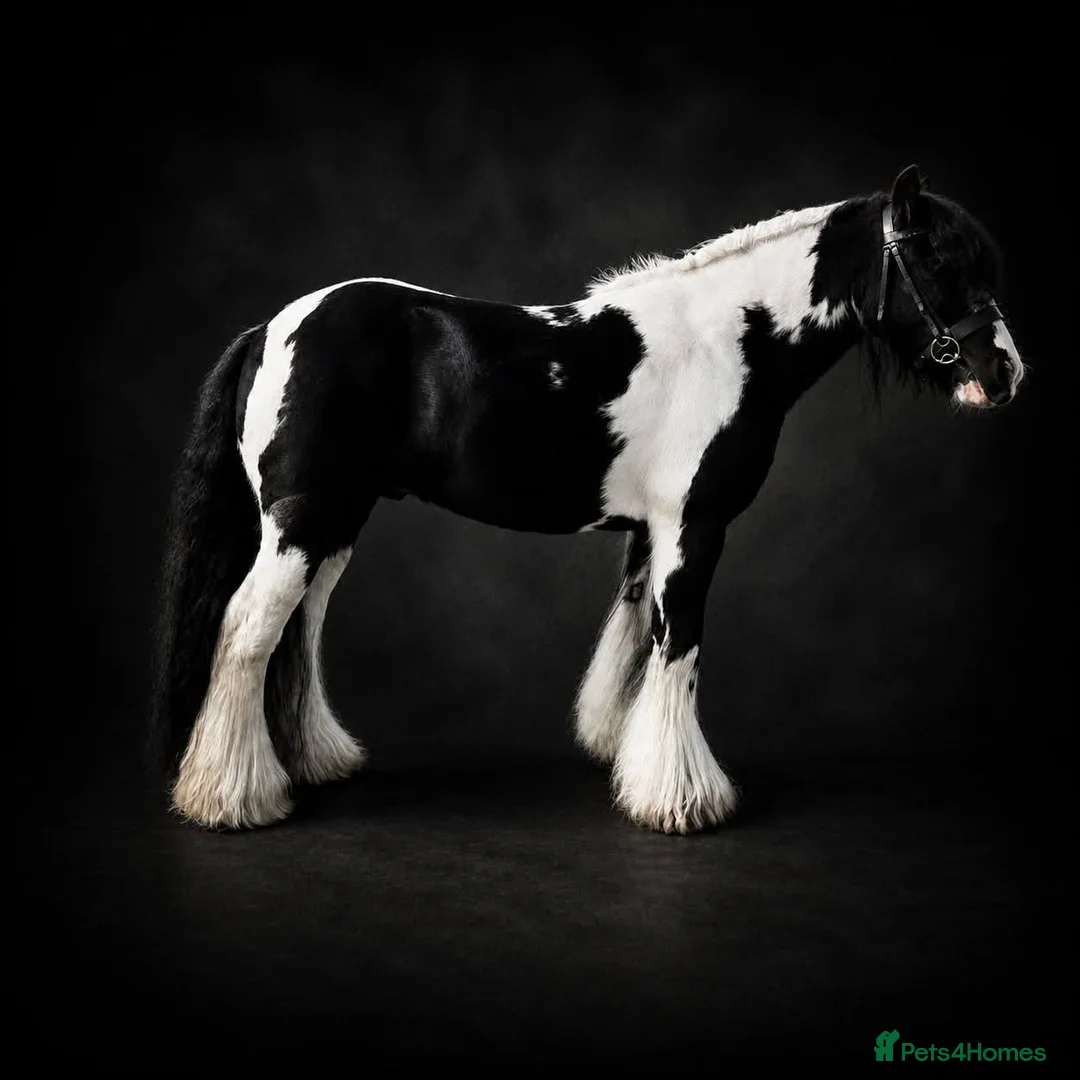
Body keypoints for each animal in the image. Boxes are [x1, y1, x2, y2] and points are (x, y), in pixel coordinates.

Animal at [150, 165, 1024, 834]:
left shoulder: (651, 533)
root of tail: (270, 329)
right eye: (938, 260)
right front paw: (682, 800)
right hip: (300, 523)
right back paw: (233, 799)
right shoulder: (694, 527)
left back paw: (313, 762)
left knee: (297, 631)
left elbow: (635, 640)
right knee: (247, 630)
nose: (1006, 373)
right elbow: (679, 647)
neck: (729, 341)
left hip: (333, 524)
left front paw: (625, 754)